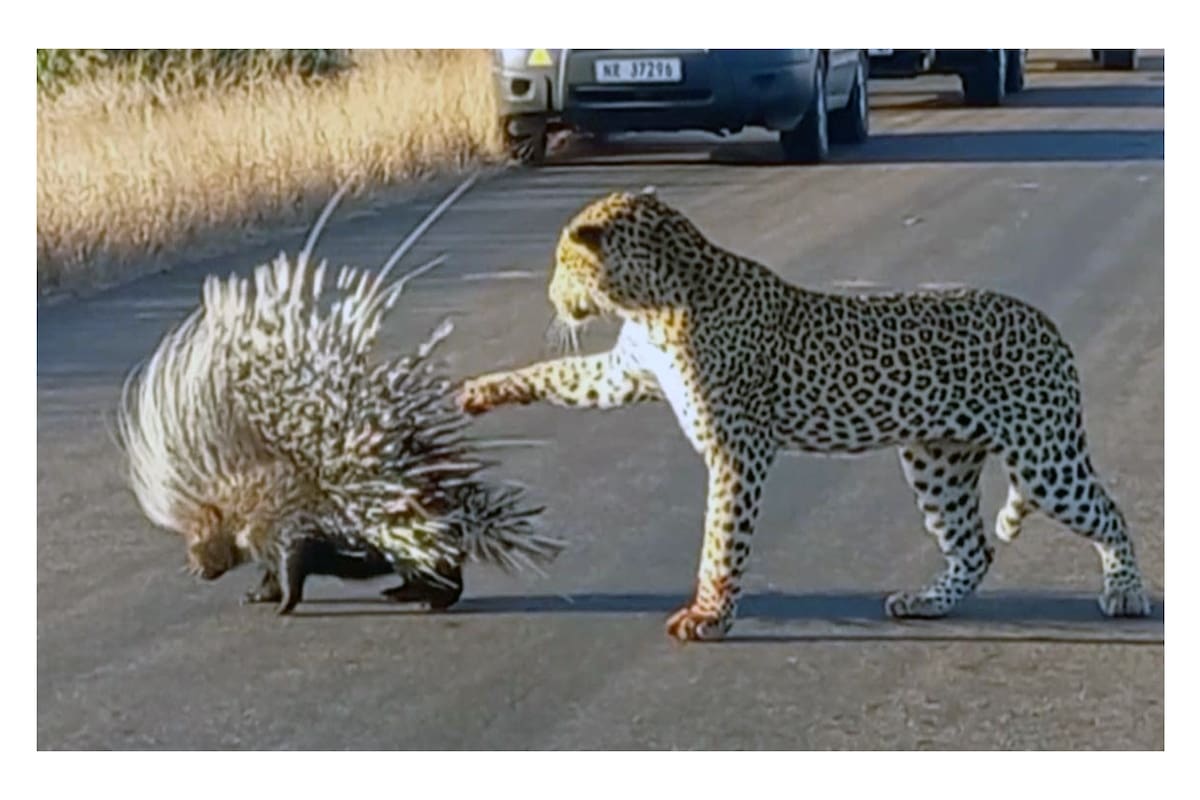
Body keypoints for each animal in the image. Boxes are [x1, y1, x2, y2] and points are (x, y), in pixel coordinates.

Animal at [457, 188, 1151, 642]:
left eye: (561, 262)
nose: (551, 294)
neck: (650, 301)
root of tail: (1046, 325)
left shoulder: (737, 450)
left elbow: (722, 538)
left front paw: (709, 616)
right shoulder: (625, 373)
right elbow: (553, 375)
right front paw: (478, 391)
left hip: (1042, 457)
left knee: (1109, 515)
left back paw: (1125, 593)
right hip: (938, 462)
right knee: (973, 546)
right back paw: (927, 602)